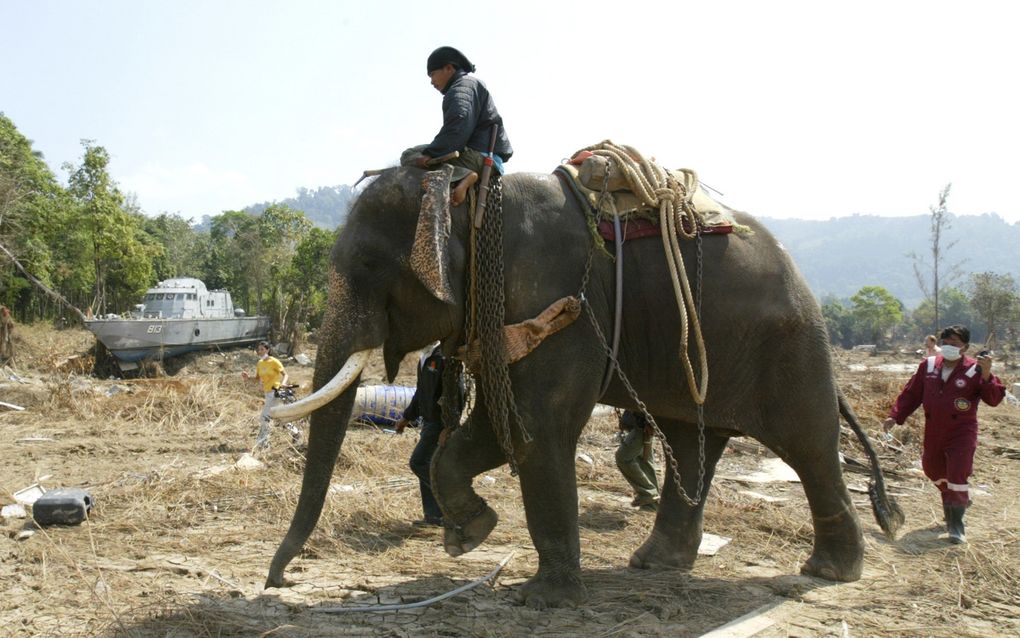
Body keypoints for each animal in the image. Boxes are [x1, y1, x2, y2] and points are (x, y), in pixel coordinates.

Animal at [265, 163, 901, 608]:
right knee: (693, 441)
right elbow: (498, 426)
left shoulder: (557, 299)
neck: (472, 195)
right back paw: (654, 564)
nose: (277, 581)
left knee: (809, 444)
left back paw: (829, 572)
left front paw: (539, 600)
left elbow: (536, 429)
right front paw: (469, 537)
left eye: (371, 265)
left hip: (790, 345)